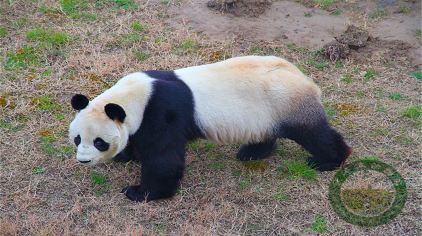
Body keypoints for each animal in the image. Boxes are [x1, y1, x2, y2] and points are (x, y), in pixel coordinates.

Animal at [70, 55, 352, 201]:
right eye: (77, 139)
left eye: (99, 141)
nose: (83, 160)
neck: (136, 96)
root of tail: (305, 79)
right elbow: (138, 140)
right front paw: (126, 156)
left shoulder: (162, 113)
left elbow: (164, 159)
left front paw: (140, 191)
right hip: (266, 112)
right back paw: (252, 152)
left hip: (286, 103)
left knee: (313, 134)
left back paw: (328, 160)